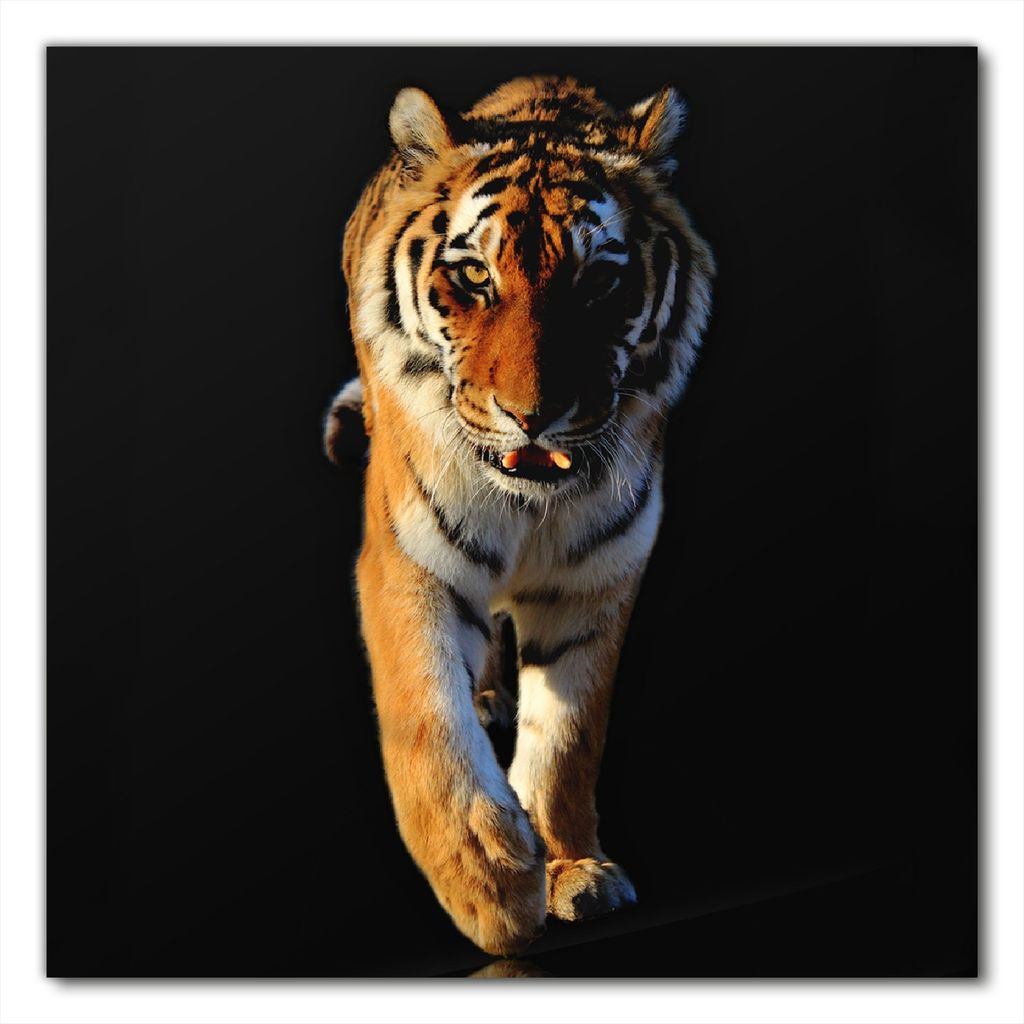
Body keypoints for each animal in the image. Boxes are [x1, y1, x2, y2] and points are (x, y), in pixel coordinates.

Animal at [323, 76, 714, 956]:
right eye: (473, 276)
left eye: (598, 281)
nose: (531, 416)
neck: (530, 506)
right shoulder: (409, 559)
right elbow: (425, 719)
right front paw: (488, 882)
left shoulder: (598, 574)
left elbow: (569, 737)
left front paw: (573, 869)